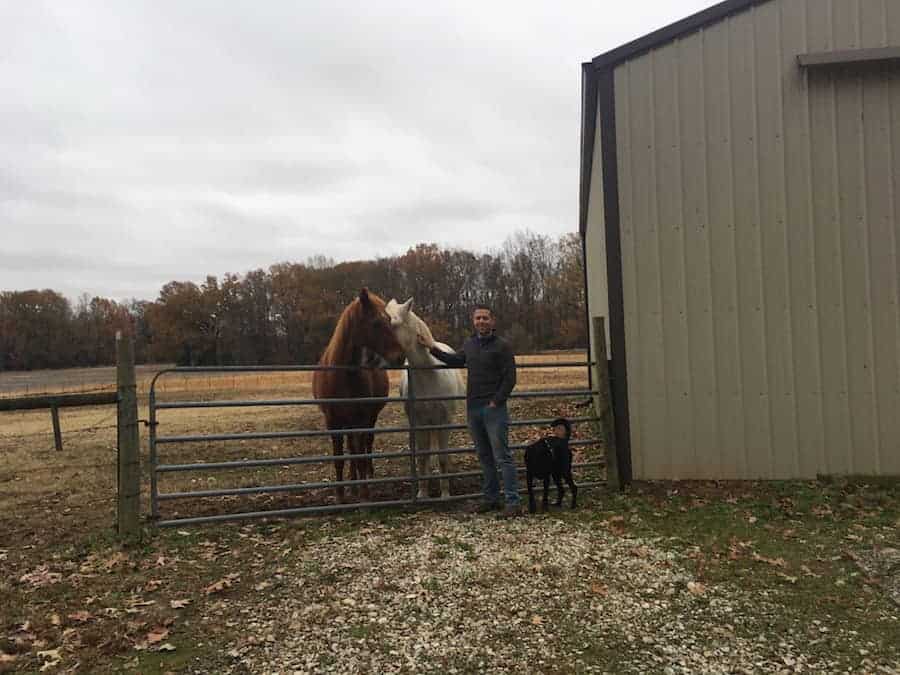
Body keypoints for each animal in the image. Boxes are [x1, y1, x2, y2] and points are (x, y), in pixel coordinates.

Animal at [312, 288, 404, 504]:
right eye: (376, 323)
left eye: (389, 319)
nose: (400, 356)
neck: (343, 375)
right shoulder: (333, 422)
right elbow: (340, 458)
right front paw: (340, 496)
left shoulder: (361, 419)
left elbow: (360, 455)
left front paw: (364, 494)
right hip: (348, 422)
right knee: (352, 448)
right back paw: (352, 485)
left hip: (369, 418)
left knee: (365, 446)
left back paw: (367, 477)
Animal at [384, 298, 464, 500]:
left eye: (393, 323)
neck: (430, 375)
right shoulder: (419, 423)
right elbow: (422, 457)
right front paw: (422, 493)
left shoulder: (444, 422)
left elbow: (442, 458)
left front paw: (445, 494)